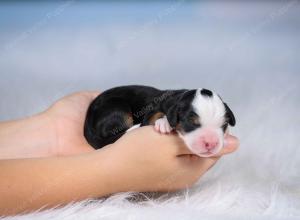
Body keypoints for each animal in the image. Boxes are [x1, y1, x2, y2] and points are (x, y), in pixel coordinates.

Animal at [83, 85, 236, 157]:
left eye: (224, 125)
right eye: (191, 122)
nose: (211, 143)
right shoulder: (153, 109)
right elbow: (156, 115)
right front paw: (164, 123)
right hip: (117, 108)